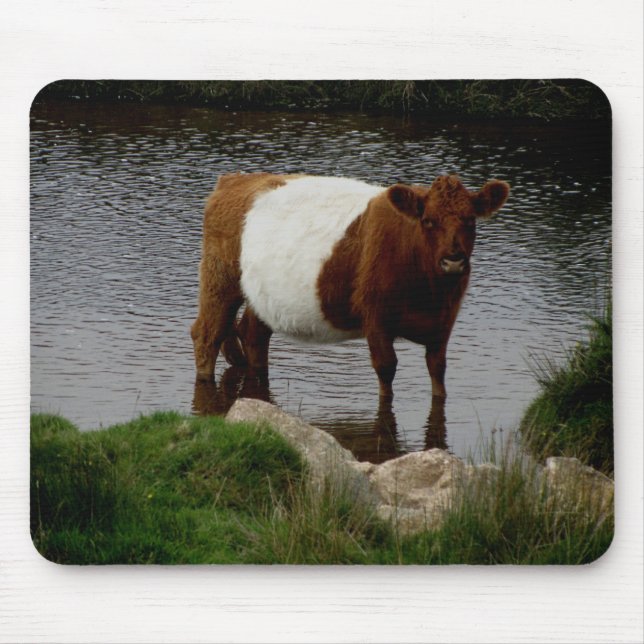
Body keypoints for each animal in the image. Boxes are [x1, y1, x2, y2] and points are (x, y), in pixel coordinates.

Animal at [191, 172, 509, 399]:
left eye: (470, 220)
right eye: (428, 221)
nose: (453, 261)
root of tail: (235, 179)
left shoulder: (443, 323)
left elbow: (438, 373)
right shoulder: (376, 319)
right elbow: (386, 373)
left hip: (261, 295)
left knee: (252, 334)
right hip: (220, 278)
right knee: (207, 334)